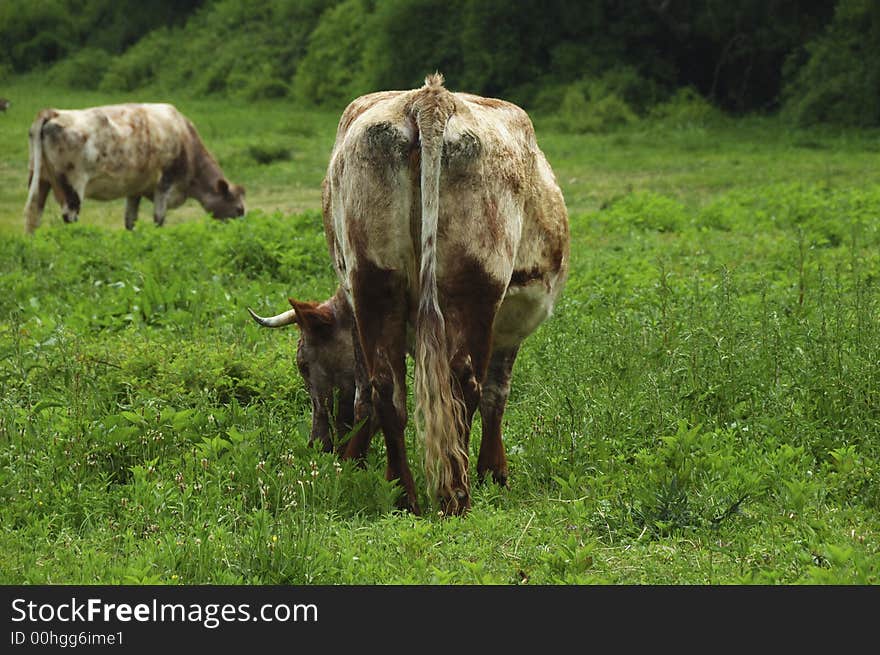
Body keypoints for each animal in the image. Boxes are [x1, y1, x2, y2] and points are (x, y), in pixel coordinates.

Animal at [24, 102, 244, 233]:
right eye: (239, 209)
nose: (239, 232)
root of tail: (54, 113)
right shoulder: (164, 183)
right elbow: (158, 219)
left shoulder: (134, 189)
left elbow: (130, 222)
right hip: (73, 186)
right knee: (69, 217)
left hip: (40, 178)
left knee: (33, 213)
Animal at [248, 74, 572, 516]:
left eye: (302, 363)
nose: (318, 444)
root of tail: (430, 98)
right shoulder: (509, 324)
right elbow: (495, 393)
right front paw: (494, 471)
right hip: (474, 285)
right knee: (461, 385)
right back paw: (455, 493)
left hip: (374, 279)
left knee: (389, 390)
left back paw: (405, 494)